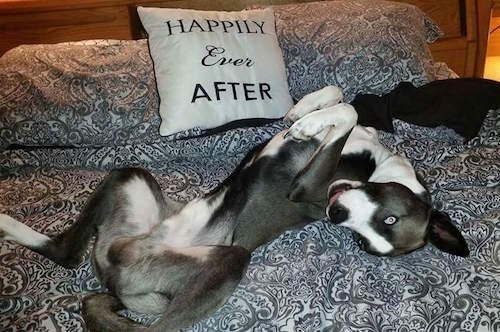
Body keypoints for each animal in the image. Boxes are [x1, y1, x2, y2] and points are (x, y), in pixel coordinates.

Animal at [0, 87, 468, 330]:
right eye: (382, 224)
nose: (335, 216)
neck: (372, 161)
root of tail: (116, 278)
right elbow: (339, 99)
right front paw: (304, 112)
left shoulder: (307, 189)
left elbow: (348, 111)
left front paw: (310, 122)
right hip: (129, 181)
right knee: (66, 253)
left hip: (220, 260)